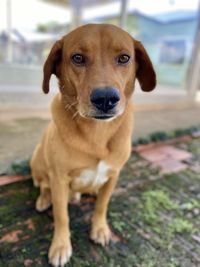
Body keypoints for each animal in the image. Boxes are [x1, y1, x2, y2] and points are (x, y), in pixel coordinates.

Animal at [30, 23, 156, 267]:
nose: (105, 98)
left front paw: (100, 229)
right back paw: (44, 199)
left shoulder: (113, 175)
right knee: (43, 185)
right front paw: (60, 246)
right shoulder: (59, 178)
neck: (97, 132)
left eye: (124, 58)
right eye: (77, 58)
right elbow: (61, 216)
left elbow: (102, 206)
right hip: (38, 159)